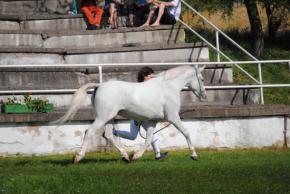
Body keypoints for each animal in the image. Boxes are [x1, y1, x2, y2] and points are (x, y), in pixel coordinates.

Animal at [52, 65, 206, 162]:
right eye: (202, 79)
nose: (204, 96)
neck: (167, 87)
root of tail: (99, 85)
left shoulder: (152, 121)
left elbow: (148, 140)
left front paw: (136, 156)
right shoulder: (173, 117)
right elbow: (186, 132)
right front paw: (194, 155)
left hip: (109, 118)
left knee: (109, 135)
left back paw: (126, 156)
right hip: (102, 118)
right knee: (89, 131)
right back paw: (78, 157)